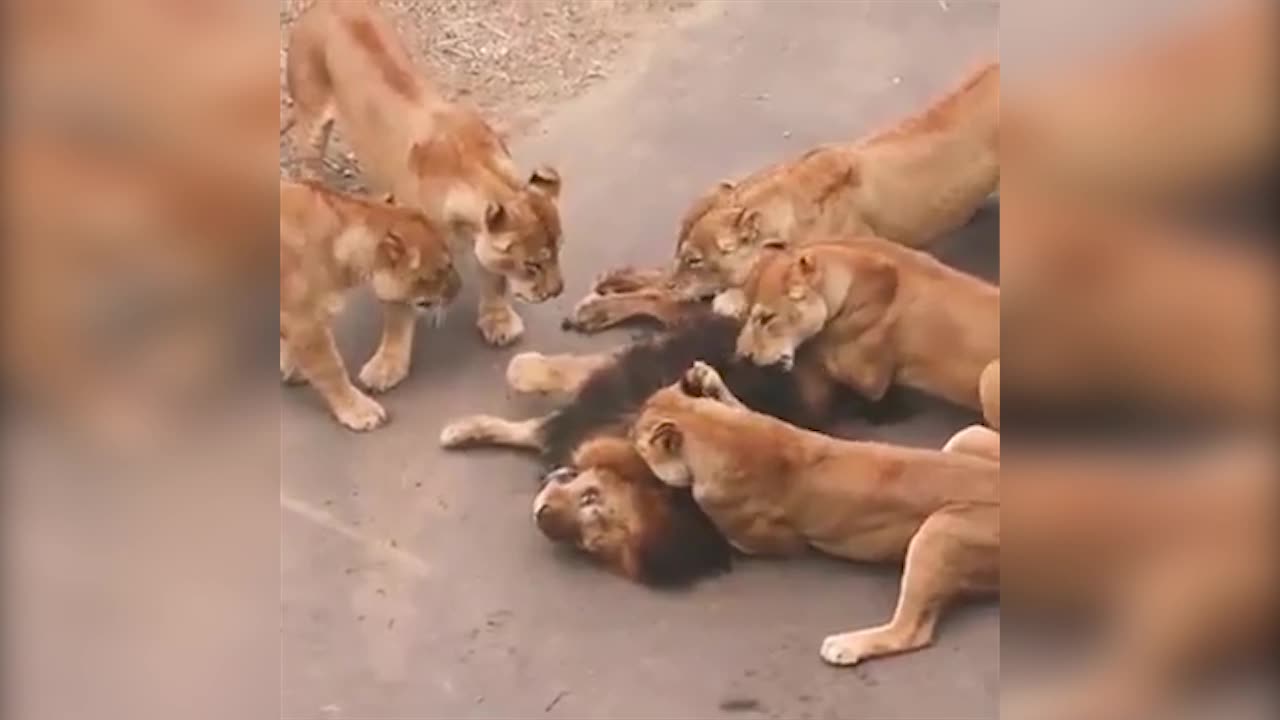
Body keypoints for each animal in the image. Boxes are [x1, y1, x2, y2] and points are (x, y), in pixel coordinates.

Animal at [280, 176, 460, 427]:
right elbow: (331, 369)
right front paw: (360, 411)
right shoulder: (304, 322)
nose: (460, 288)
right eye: (443, 268)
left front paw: (291, 370)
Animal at [285, 0, 565, 345]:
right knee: (309, 166)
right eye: (532, 264)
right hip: (311, 120)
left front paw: (498, 320)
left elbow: (493, 276)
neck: (473, 169)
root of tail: (324, 5)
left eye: (558, 251)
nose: (557, 292)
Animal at [568, 61, 998, 330]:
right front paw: (619, 277)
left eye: (696, 260)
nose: (678, 280)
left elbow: (661, 301)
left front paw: (597, 309)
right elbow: (656, 278)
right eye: (681, 252)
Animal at [629, 361, 998, 666]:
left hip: (940, 529)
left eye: (636, 436)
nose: (627, 427)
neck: (717, 431)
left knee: (912, 631)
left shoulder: (771, 541)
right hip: (965, 438)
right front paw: (706, 379)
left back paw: (845, 646)